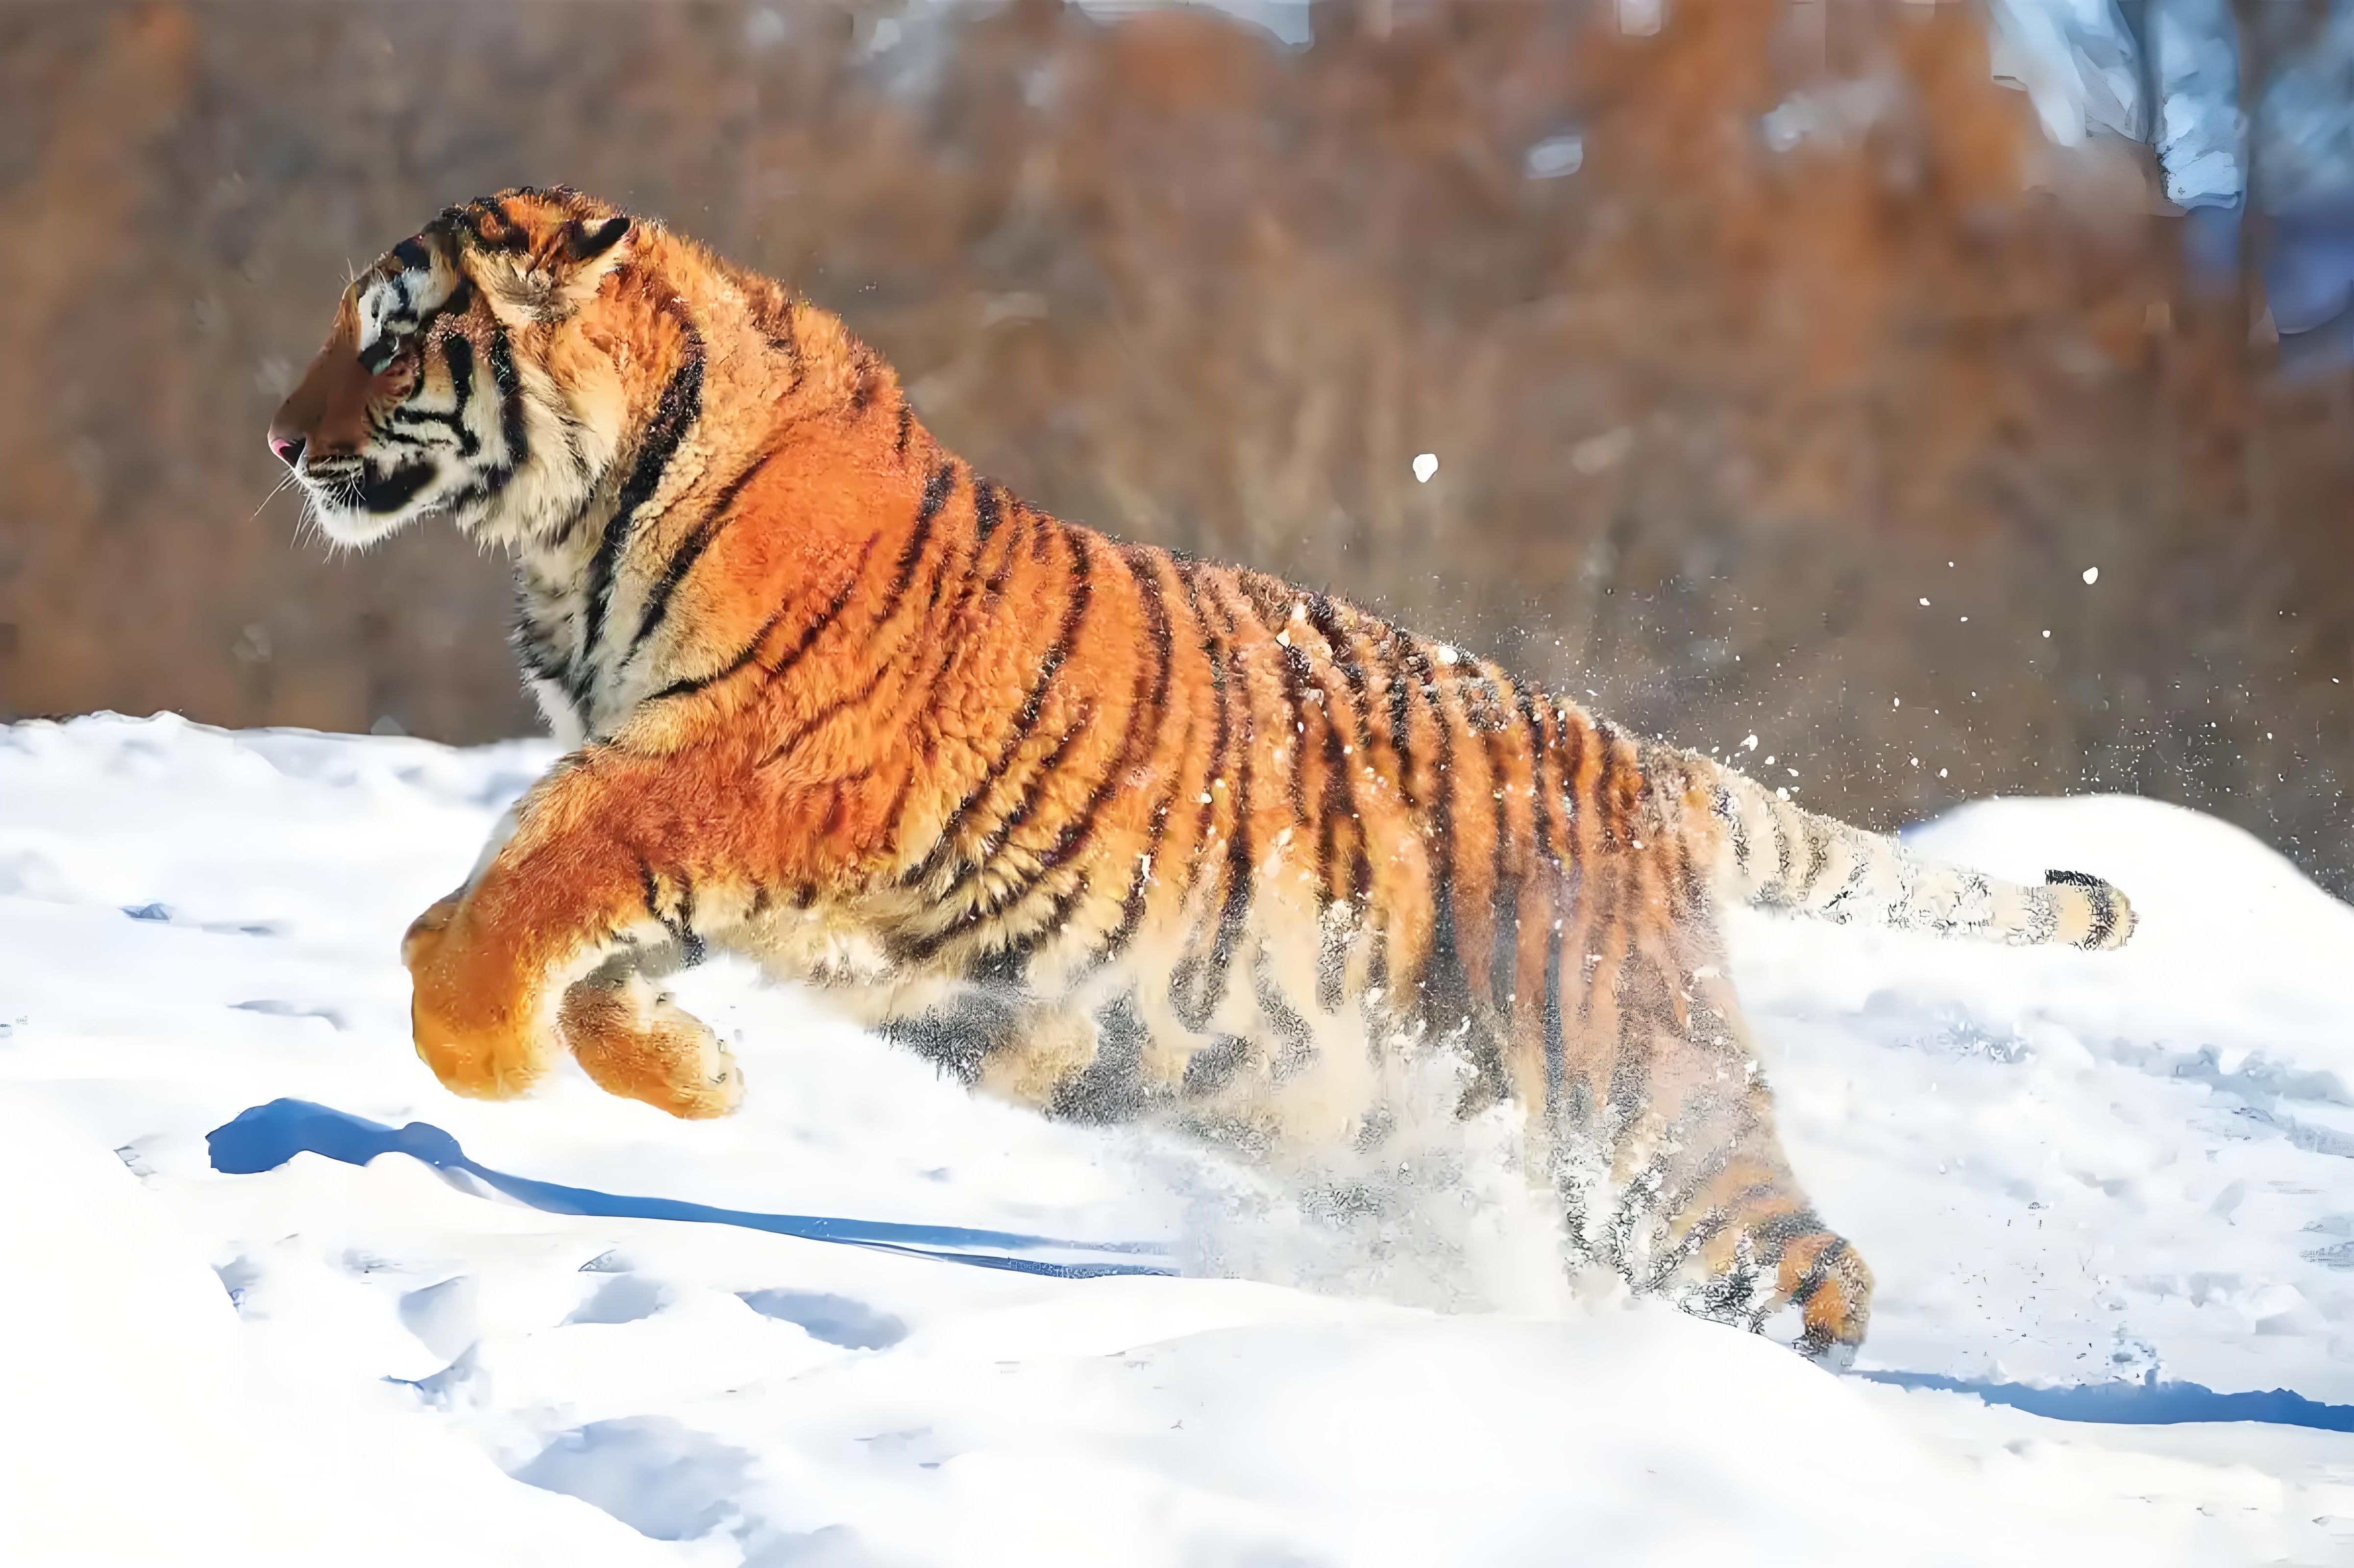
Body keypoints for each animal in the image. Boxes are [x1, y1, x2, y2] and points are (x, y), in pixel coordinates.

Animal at [265, 187, 2134, 1362]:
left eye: (389, 340)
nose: (277, 440)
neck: (568, 529)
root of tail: (1644, 763)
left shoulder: (737, 775)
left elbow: (532, 879)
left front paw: (475, 1045)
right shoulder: (717, 823)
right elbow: (589, 939)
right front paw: (696, 1074)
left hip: (1637, 1108)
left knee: (1814, 1273)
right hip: (1410, 1112)